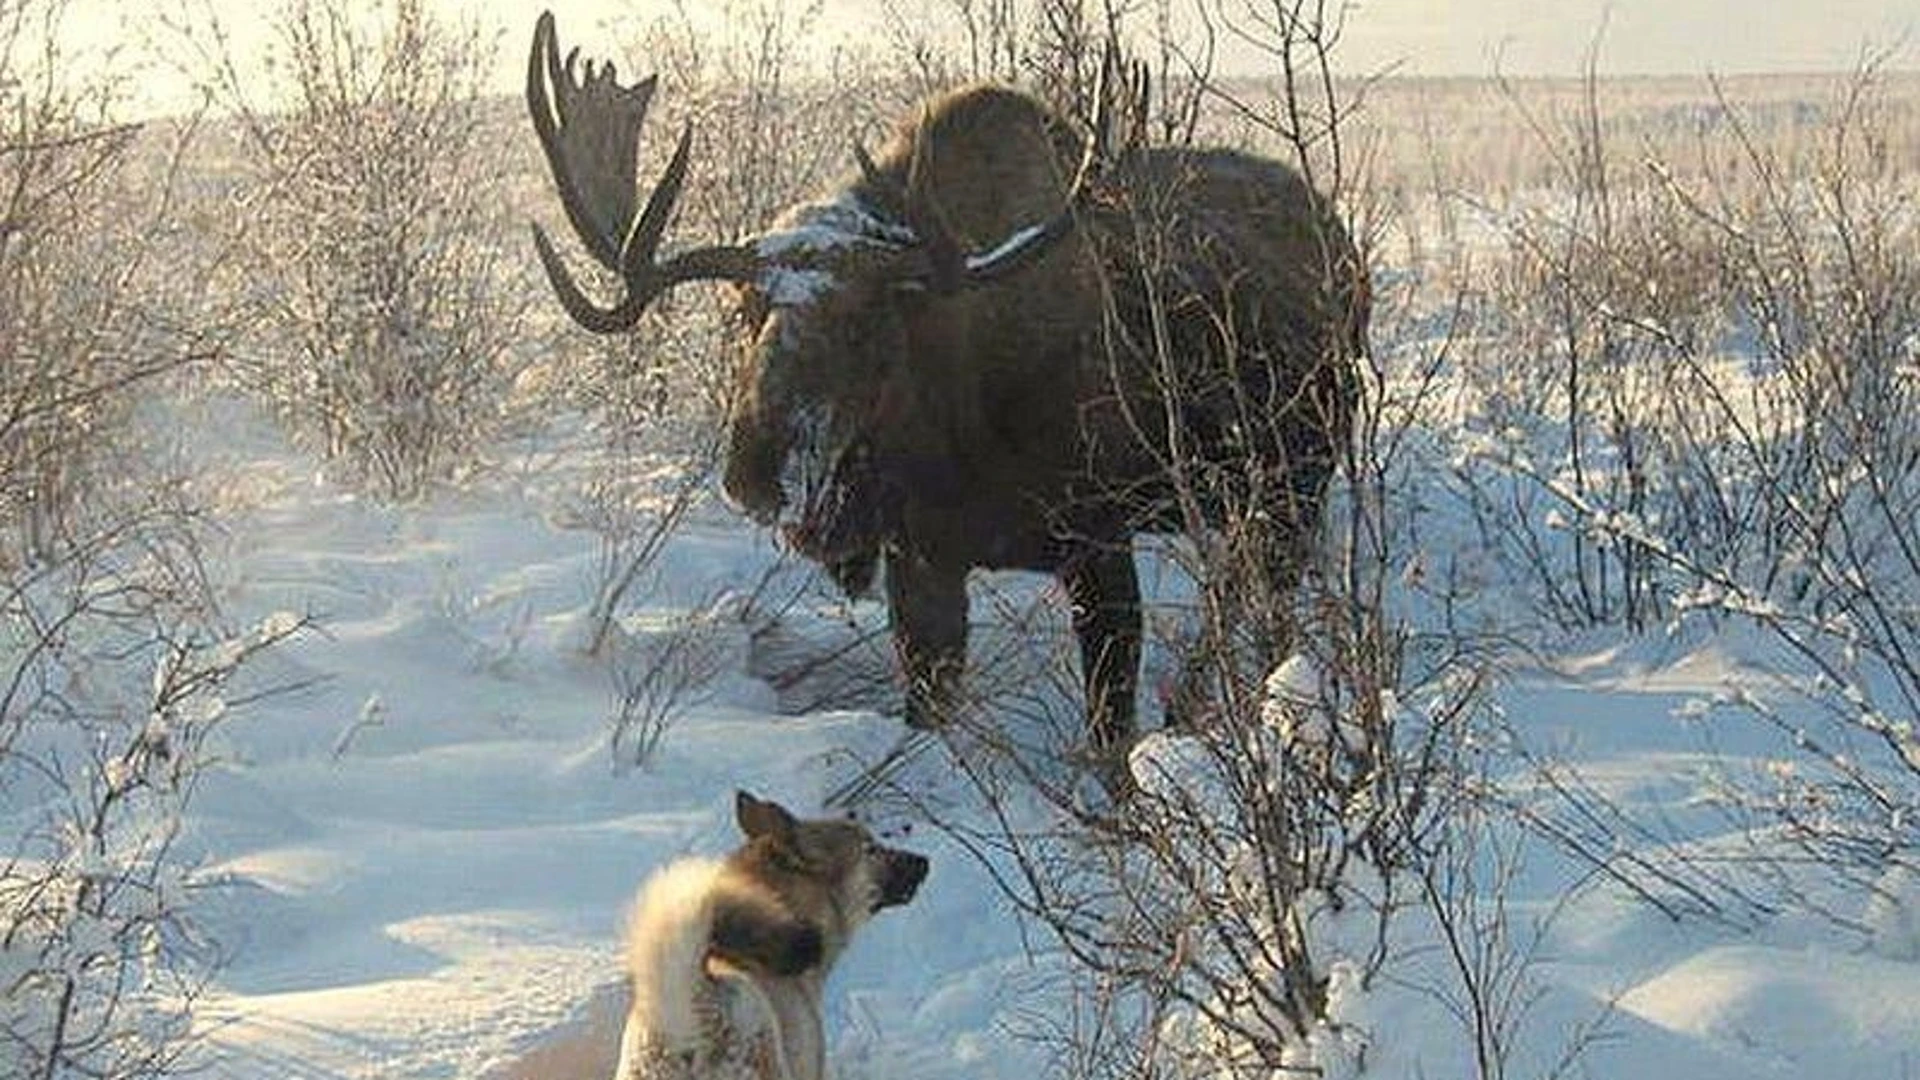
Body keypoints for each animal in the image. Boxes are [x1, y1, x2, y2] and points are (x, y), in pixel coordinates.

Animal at [526, 12, 1367, 760]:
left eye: (865, 324)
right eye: (744, 309)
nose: (755, 474)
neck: (961, 434)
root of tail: (1336, 233)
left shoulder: (1099, 542)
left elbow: (1108, 737)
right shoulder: (922, 557)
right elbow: (926, 705)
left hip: (1294, 481)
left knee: (1261, 599)